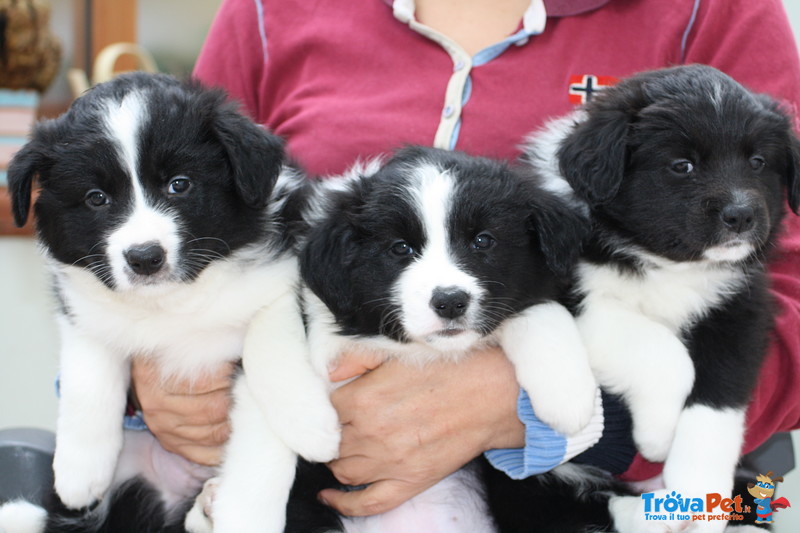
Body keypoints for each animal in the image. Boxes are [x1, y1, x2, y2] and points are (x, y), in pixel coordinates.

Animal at [0, 71, 306, 532]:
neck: (172, 303)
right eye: (96, 198)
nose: (144, 257)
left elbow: (272, 370)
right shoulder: (82, 307)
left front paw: (303, 432)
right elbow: (87, 372)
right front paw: (78, 470)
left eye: (179, 184)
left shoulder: (285, 282)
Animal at [217, 145, 592, 532]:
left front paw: (567, 397)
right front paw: (245, 517)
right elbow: (270, 420)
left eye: (483, 240)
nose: (450, 301)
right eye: (400, 248)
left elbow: (540, 310)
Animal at [524, 64, 800, 528]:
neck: (670, 263)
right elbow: (666, 354)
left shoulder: (740, 310)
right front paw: (658, 434)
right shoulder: (579, 297)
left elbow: (719, 397)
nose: (741, 215)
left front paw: (697, 485)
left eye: (758, 162)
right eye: (681, 165)